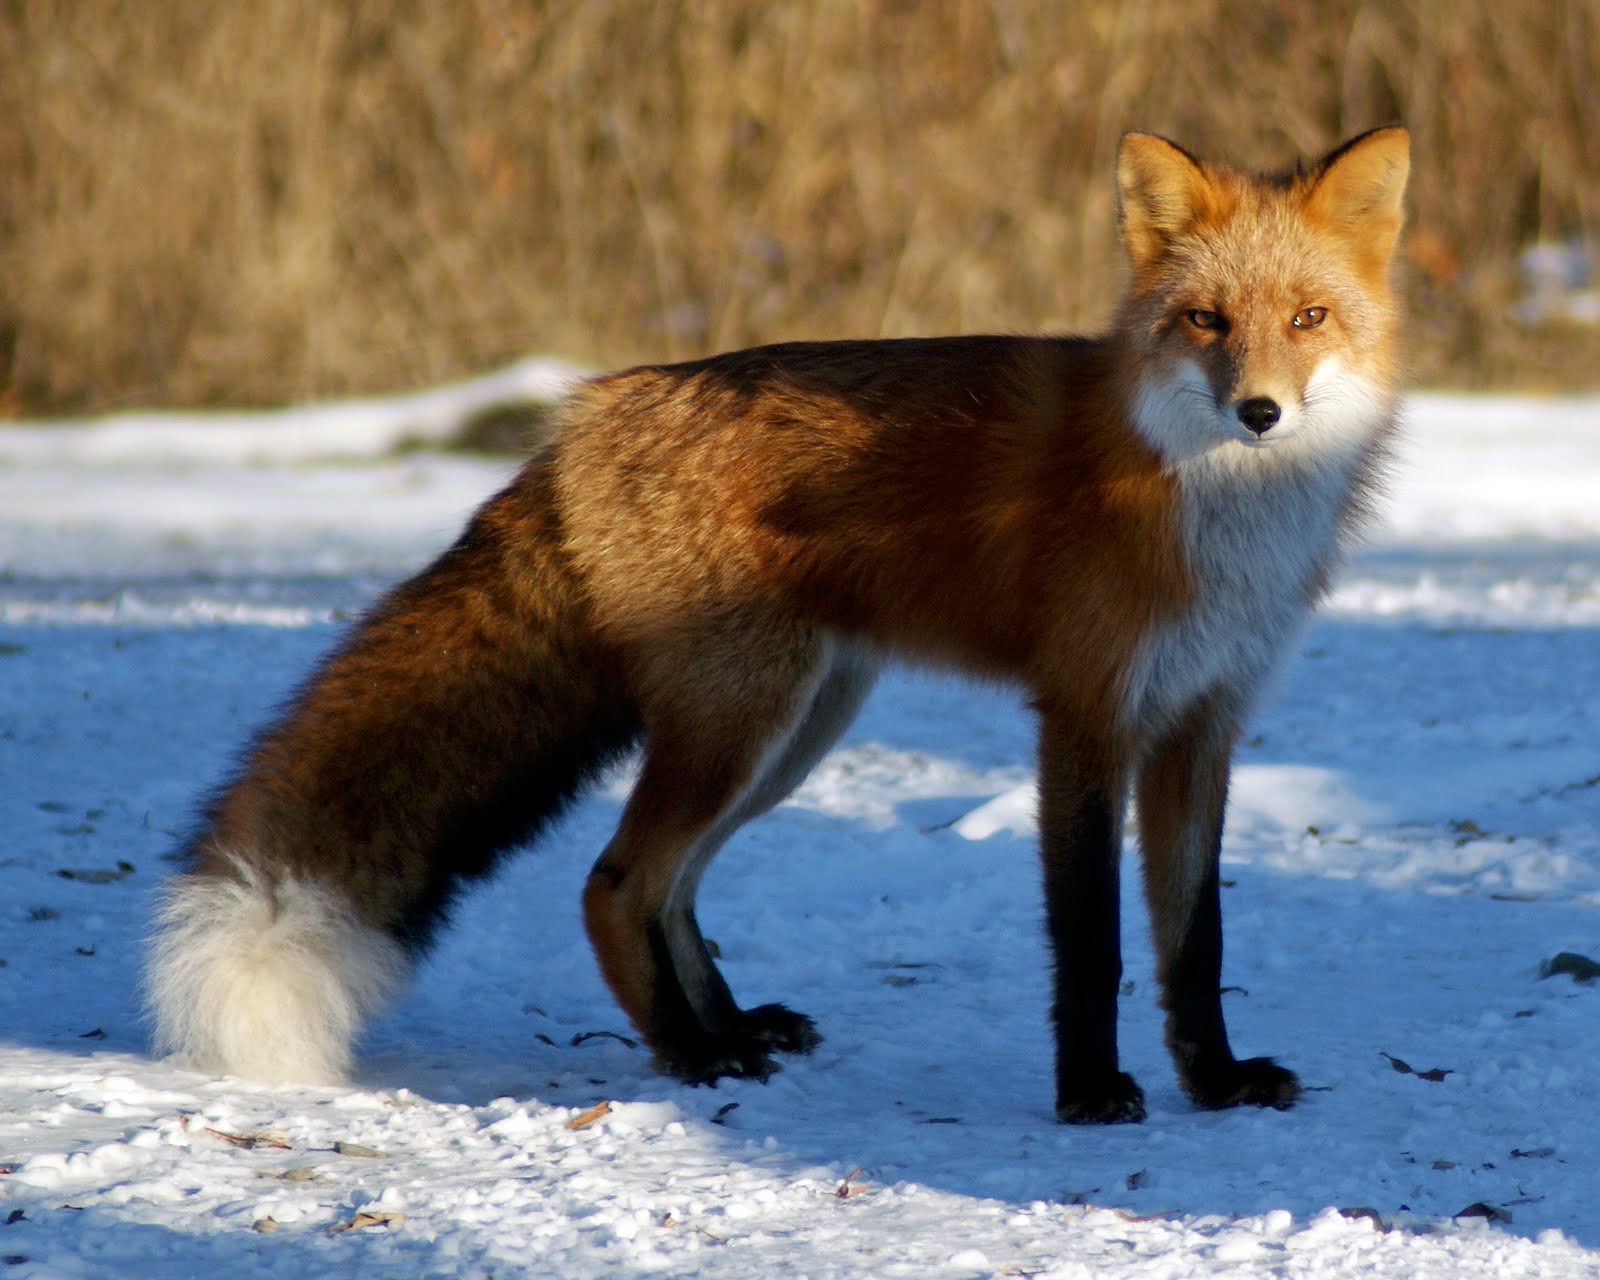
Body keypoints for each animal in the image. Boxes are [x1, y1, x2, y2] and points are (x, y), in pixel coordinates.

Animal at [144, 122, 1408, 1120]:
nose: (1258, 411)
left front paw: (1215, 1080)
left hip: (796, 727)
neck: (1216, 512)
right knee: (616, 880)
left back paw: (733, 1027)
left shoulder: (1203, 722)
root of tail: (579, 418)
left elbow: (1195, 940)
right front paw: (1091, 1092)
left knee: (674, 886)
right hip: (745, 719)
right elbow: (1092, 941)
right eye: (1204, 320)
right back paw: (692, 1056)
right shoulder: (1085, 717)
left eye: (1308, 317)